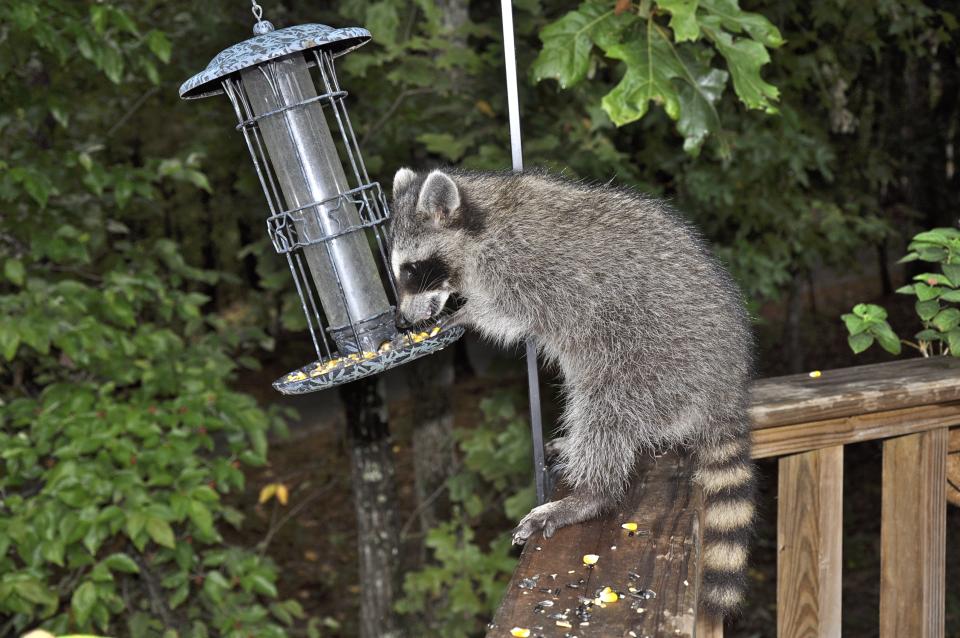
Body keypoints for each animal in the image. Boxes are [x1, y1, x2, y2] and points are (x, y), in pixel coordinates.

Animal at [387, 167, 756, 617]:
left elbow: (508, 314)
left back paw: (592, 492)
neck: (482, 223)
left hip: (654, 358)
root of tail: (727, 384)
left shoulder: (527, 269)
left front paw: (467, 314)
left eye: (412, 270)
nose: (402, 321)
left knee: (607, 408)